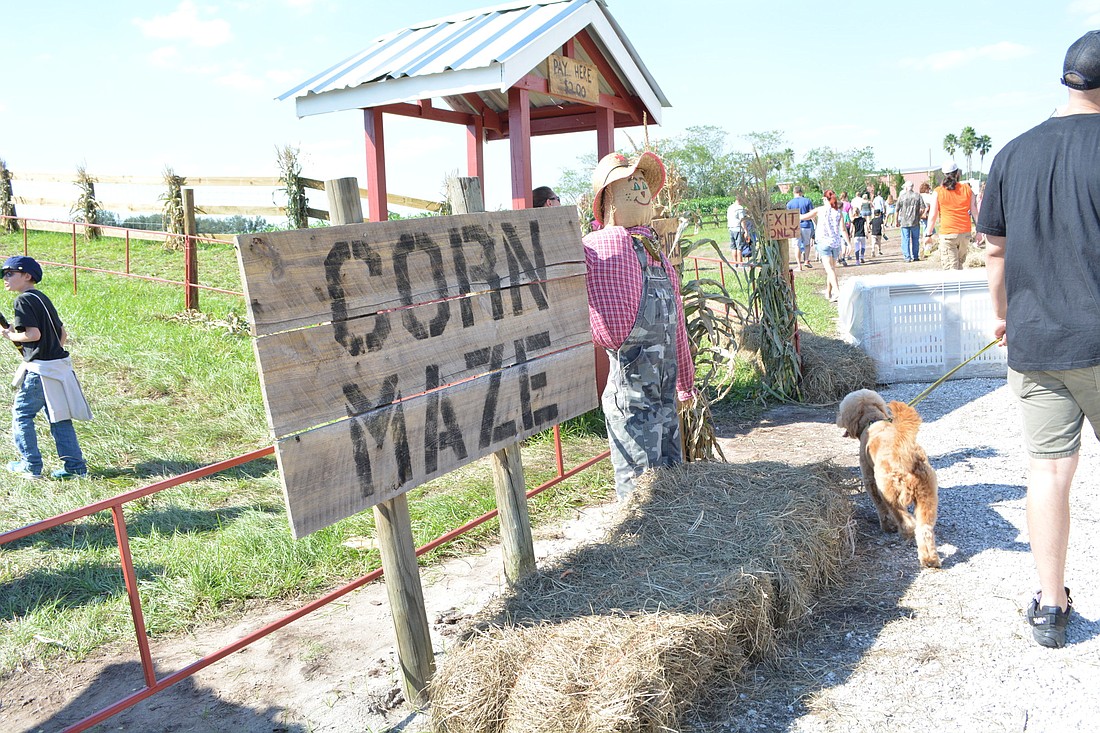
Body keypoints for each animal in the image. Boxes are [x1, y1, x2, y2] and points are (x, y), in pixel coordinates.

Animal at [836, 387, 941, 563]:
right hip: (927, 497)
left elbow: (880, 506)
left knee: (906, 521)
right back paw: (929, 559)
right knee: (924, 529)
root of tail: (907, 455)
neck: (873, 421)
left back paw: (903, 532)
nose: (837, 419)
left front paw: (887, 526)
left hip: (889, 492)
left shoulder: (869, 480)